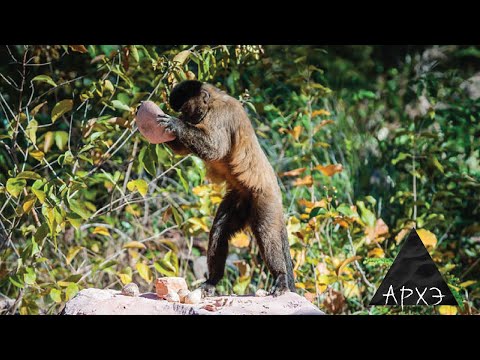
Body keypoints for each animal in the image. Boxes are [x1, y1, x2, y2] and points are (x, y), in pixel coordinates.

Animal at [158, 81, 294, 296]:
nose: (184, 118)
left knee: (266, 232)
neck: (214, 100)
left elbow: (216, 148)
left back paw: (280, 277)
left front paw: (175, 124)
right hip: (241, 198)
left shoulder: (221, 113)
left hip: (266, 199)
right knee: (219, 230)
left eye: (186, 111)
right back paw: (213, 280)